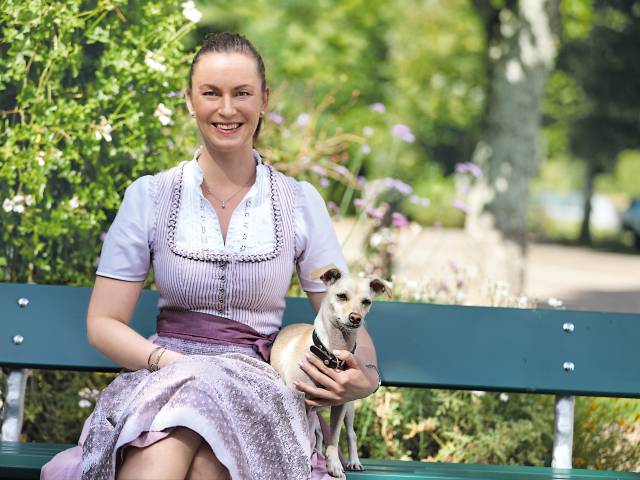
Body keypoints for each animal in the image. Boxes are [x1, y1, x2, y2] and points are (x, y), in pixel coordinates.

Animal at [268, 264, 384, 478]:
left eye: (367, 302)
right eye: (341, 296)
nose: (356, 318)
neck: (330, 351)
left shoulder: (340, 404)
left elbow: (335, 436)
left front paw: (334, 464)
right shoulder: (300, 402)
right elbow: (308, 435)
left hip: (349, 407)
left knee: (351, 434)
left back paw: (354, 462)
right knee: (319, 433)